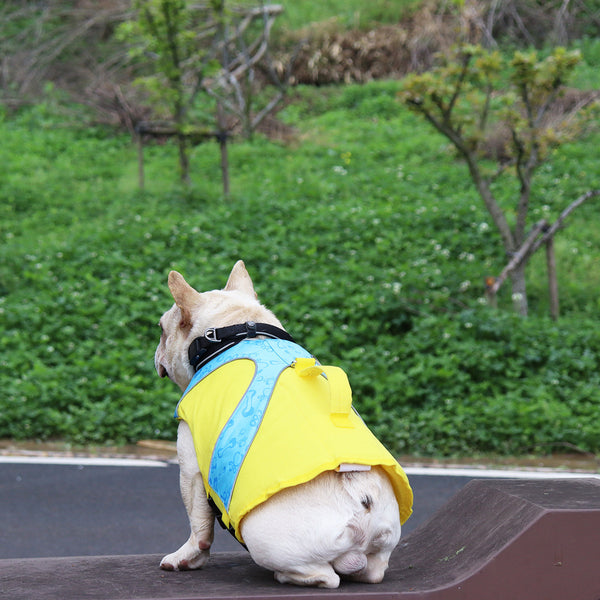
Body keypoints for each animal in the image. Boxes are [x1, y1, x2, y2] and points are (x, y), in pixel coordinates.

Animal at [154, 262, 412, 584]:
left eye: (161, 330)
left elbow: (198, 522)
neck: (237, 330)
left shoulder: (189, 458)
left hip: (264, 539)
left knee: (325, 576)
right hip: (382, 544)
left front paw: (186, 558)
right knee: (374, 572)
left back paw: (286, 576)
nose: (156, 351)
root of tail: (363, 501)